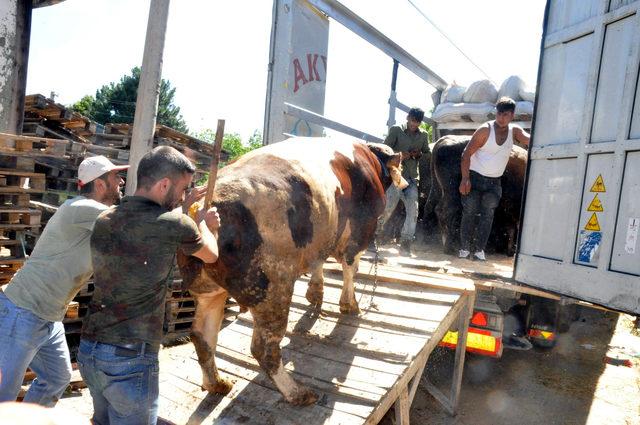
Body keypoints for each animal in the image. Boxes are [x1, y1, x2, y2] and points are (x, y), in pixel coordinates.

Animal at [176, 136, 404, 404]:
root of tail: (205, 206)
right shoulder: (361, 228)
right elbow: (350, 266)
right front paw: (350, 305)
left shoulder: (321, 237)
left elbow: (319, 262)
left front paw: (315, 294)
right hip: (272, 287)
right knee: (263, 348)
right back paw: (298, 393)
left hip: (206, 288)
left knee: (202, 336)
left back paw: (218, 384)